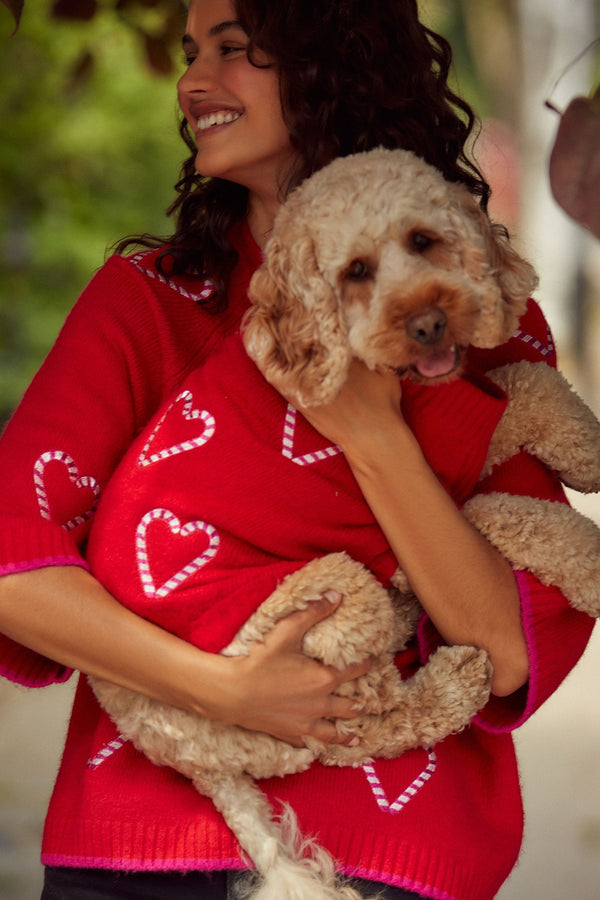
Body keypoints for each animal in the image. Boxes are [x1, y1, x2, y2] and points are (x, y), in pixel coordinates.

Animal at [89, 149, 600, 900]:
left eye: (423, 240)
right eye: (355, 270)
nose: (428, 324)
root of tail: (184, 756)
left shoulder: (455, 434)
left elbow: (526, 386)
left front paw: (588, 448)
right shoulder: (430, 490)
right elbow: (506, 511)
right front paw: (588, 559)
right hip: (314, 608)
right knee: (367, 721)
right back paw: (455, 675)